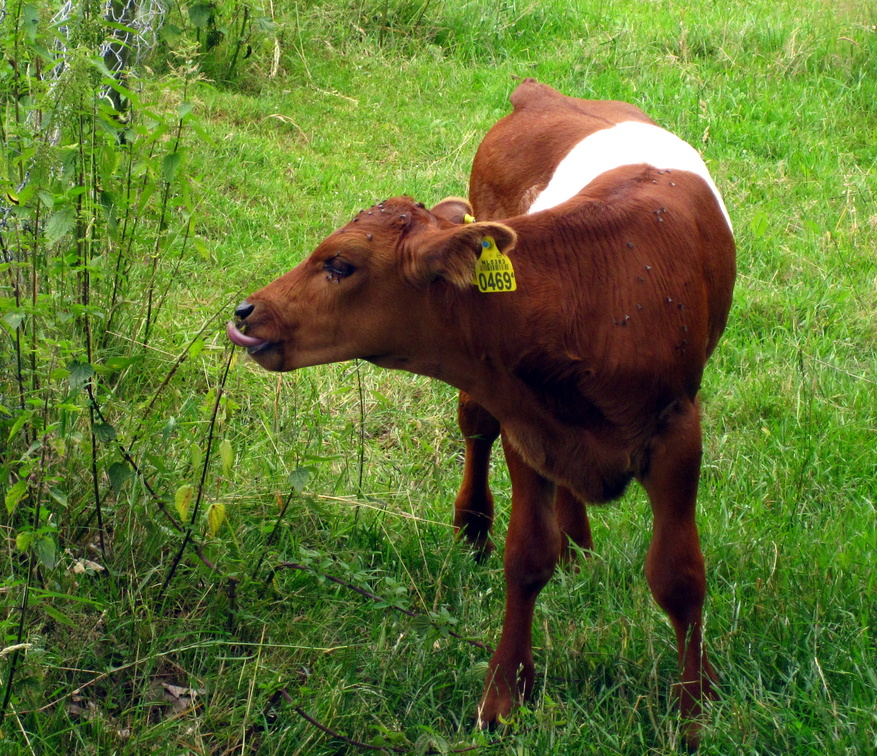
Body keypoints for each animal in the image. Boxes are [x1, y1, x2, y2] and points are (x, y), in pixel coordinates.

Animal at [227, 79, 735, 750]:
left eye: (339, 264)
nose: (246, 311)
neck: (595, 293)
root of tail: (541, 93)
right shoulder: (524, 420)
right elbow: (526, 557)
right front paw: (504, 698)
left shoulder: (676, 431)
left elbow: (679, 576)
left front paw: (695, 710)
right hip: (493, 398)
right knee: (475, 428)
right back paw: (476, 526)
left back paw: (579, 549)